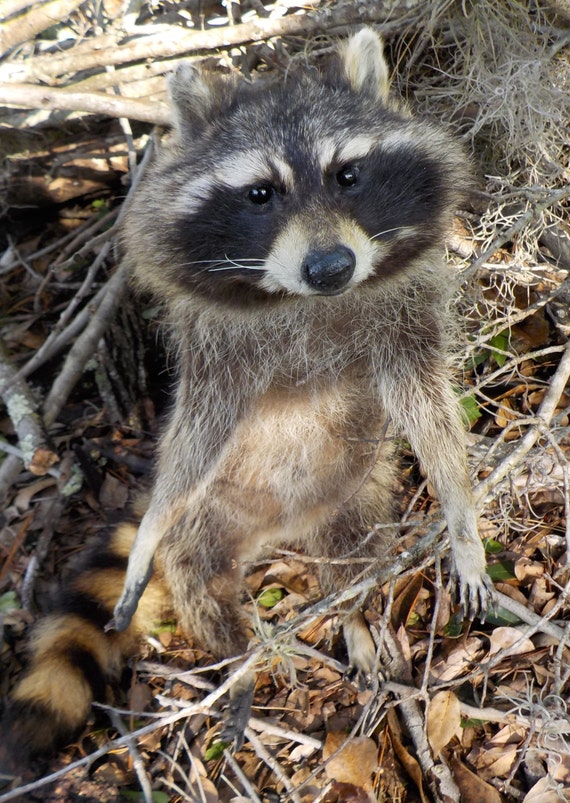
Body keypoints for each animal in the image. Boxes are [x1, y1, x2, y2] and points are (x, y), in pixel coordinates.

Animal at [1, 28, 493, 770]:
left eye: (347, 175)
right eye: (261, 193)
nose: (330, 268)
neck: (300, 298)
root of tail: (277, 532)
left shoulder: (402, 313)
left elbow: (428, 407)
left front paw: (460, 515)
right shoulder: (214, 348)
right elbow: (195, 431)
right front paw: (151, 527)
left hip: (356, 490)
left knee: (356, 556)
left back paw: (350, 617)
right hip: (206, 519)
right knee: (200, 585)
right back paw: (241, 668)